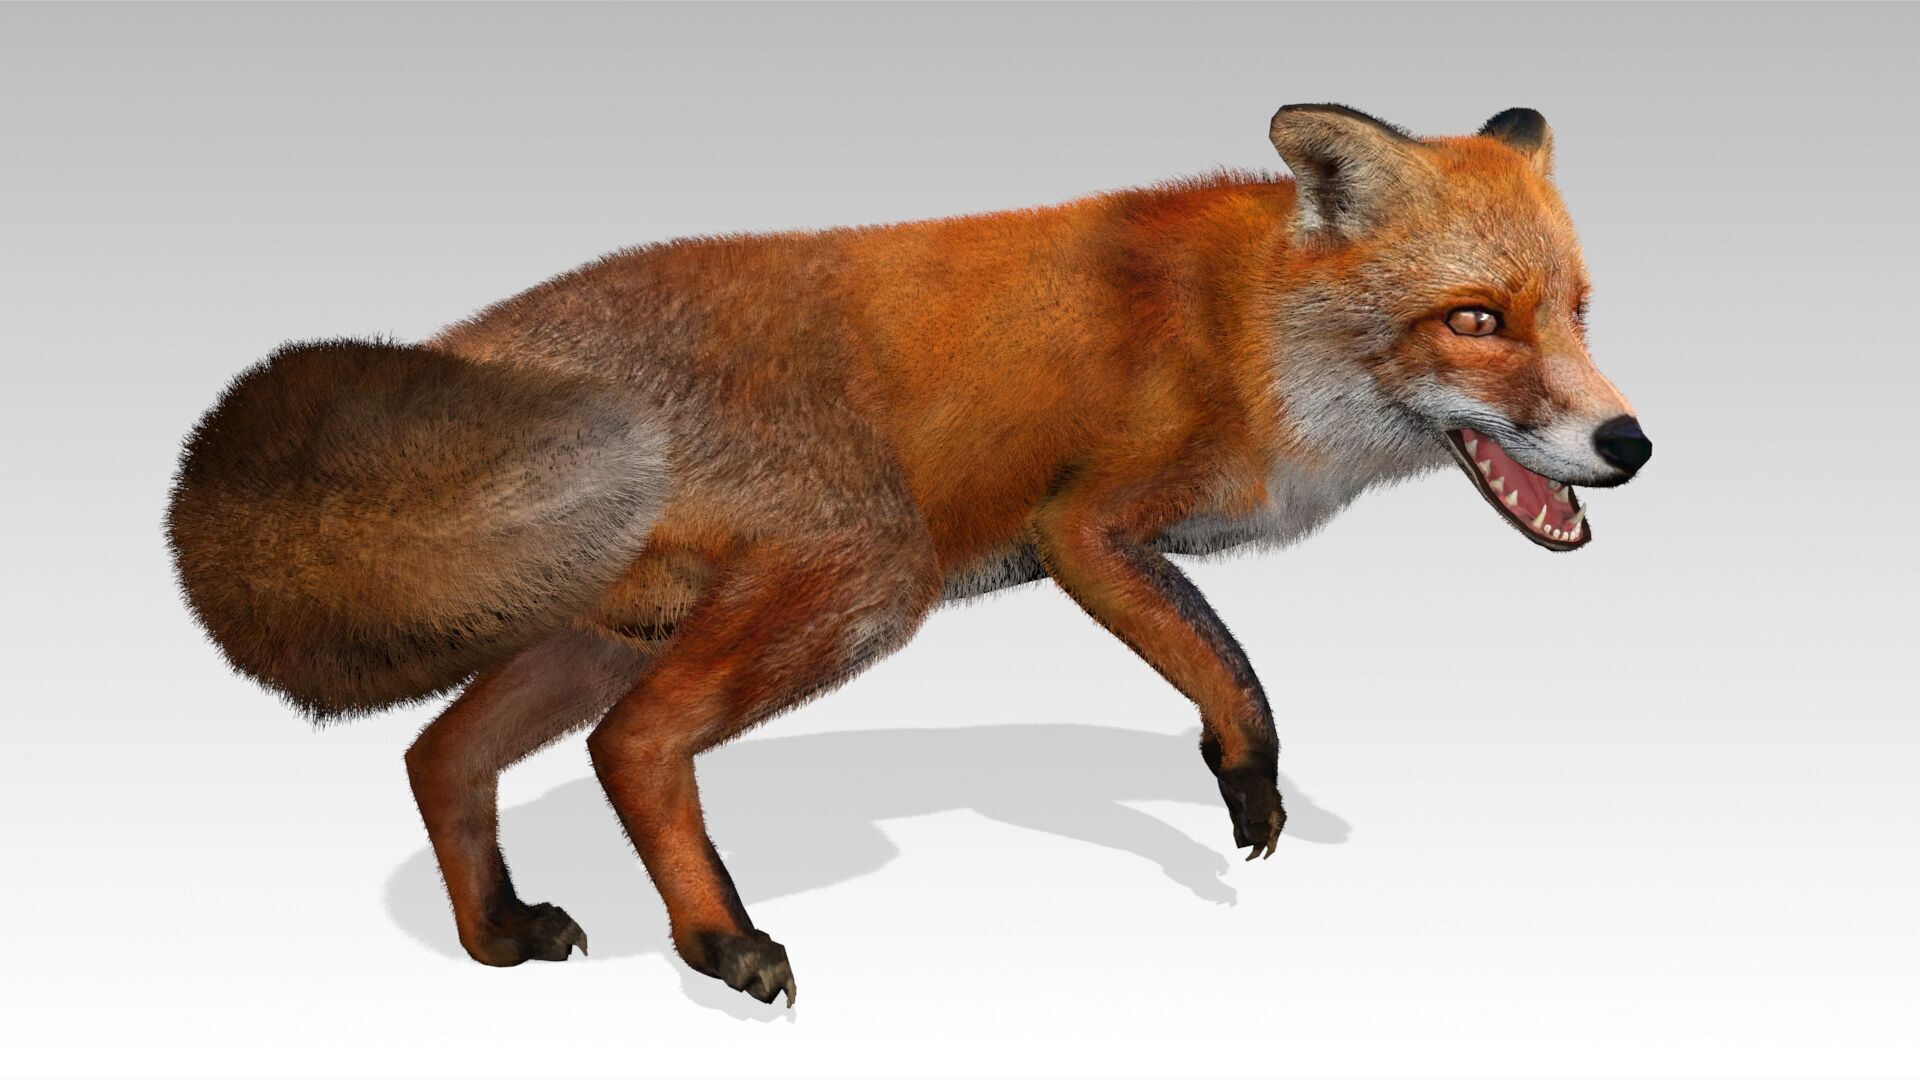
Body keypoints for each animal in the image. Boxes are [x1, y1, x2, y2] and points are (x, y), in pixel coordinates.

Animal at [166, 104, 1652, 1007]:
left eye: (1575, 314)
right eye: (1476, 320)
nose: (1629, 443)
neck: (1252, 332)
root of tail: (489, 343)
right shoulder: (1087, 528)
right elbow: (1222, 660)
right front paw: (1245, 775)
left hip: (609, 630)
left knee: (442, 754)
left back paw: (495, 935)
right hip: (861, 586)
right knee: (632, 747)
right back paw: (718, 941)